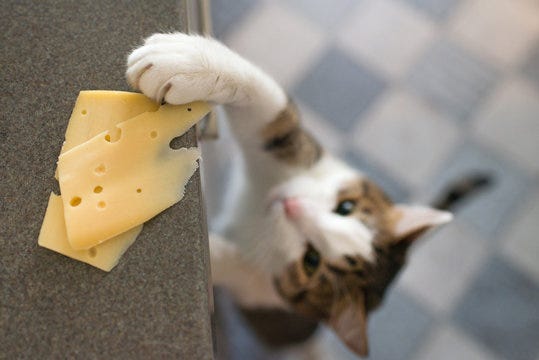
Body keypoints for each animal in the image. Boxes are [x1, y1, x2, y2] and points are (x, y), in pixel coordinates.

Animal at [126, 33, 490, 358]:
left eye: (311, 260)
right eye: (345, 207)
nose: (290, 204)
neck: (258, 212)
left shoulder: (262, 287)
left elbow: (227, 266)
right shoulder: (296, 156)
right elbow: (270, 109)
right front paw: (185, 61)